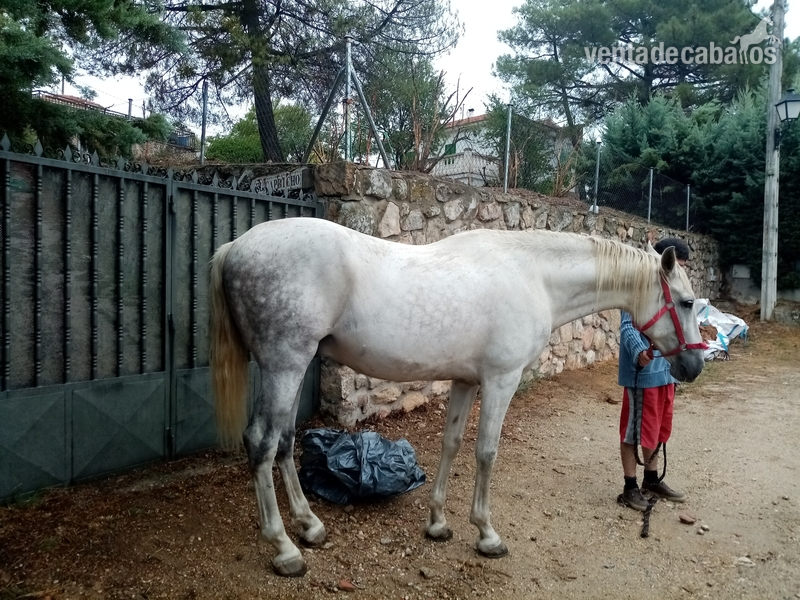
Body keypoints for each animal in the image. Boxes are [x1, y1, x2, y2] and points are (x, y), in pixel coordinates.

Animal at [209, 217, 705, 577]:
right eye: (685, 302)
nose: (695, 366)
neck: (534, 277)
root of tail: (236, 247)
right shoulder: (501, 380)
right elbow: (486, 452)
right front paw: (486, 534)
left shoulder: (466, 382)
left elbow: (452, 444)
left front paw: (438, 523)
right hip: (285, 364)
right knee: (262, 442)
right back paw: (284, 548)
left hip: (293, 367)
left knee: (286, 440)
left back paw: (310, 526)